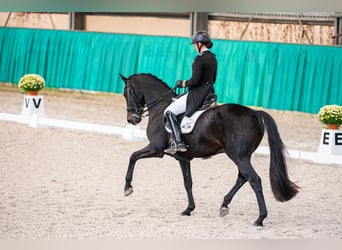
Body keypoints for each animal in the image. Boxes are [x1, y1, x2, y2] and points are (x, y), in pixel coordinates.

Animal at [119, 73, 298, 227]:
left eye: (126, 93)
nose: (132, 119)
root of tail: (254, 113)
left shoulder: (156, 149)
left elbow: (132, 156)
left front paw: (127, 188)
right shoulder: (183, 158)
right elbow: (188, 182)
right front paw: (188, 209)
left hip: (239, 156)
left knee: (254, 180)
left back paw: (260, 218)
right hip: (242, 156)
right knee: (242, 178)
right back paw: (224, 205)